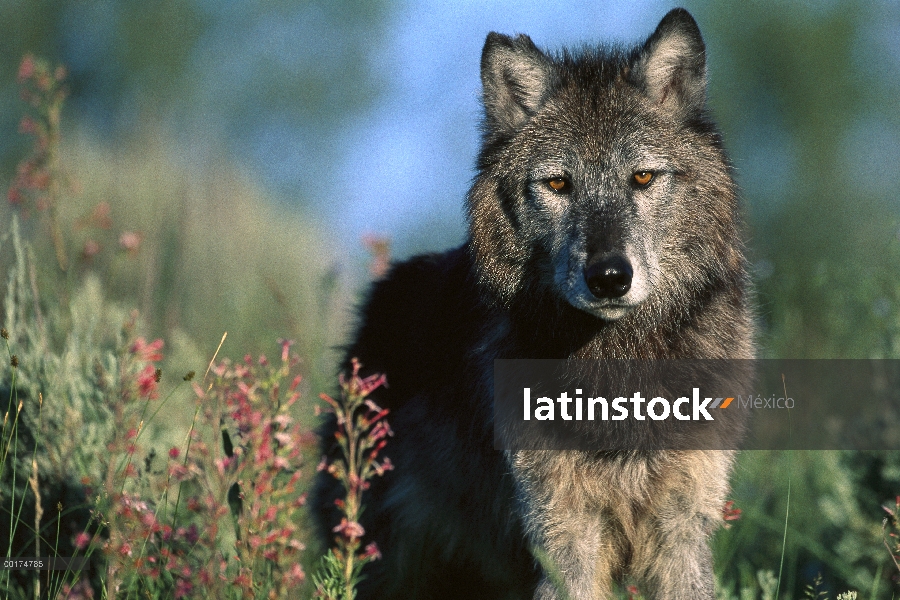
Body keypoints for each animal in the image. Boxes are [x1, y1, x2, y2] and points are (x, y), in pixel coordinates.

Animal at [314, 9, 752, 600]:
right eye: (558, 184)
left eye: (642, 177)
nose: (609, 277)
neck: (616, 366)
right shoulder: (563, 534)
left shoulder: (681, 530)